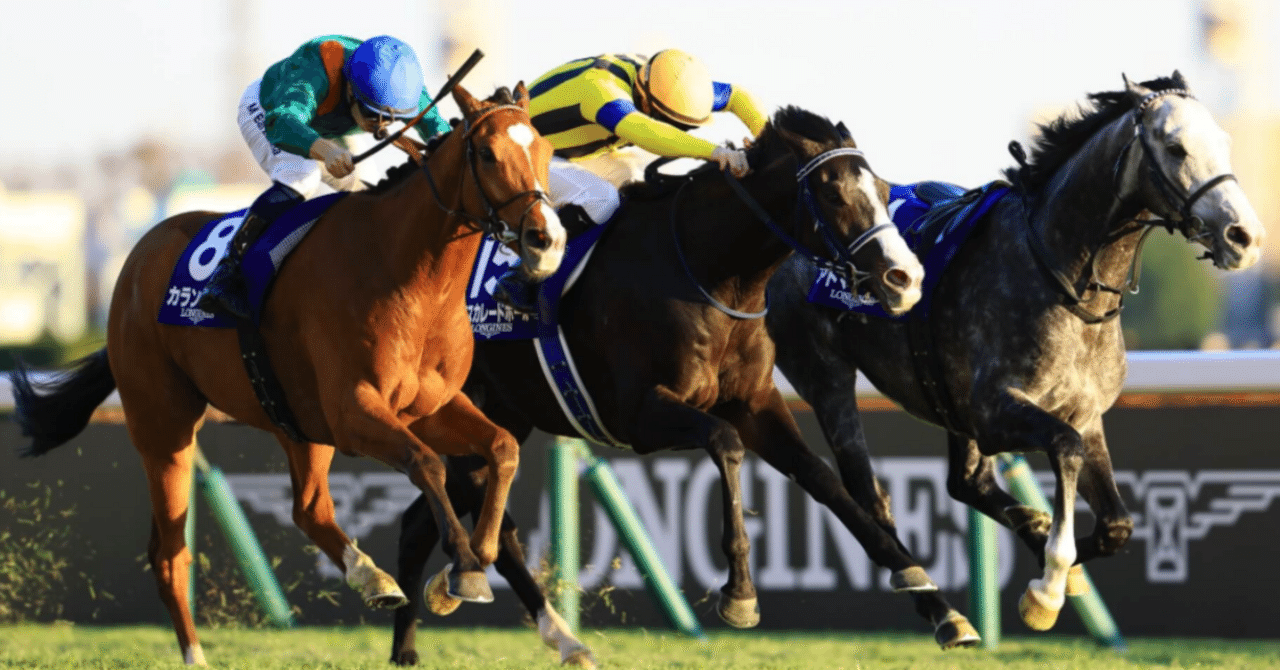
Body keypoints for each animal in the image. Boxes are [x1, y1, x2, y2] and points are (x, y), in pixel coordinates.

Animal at [7, 84, 567, 666]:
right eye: (487, 154)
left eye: (546, 150)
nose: (546, 239)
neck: (408, 277)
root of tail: (135, 261)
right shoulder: (354, 411)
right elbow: (427, 463)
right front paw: (462, 566)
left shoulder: (430, 406)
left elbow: (502, 449)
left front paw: (466, 569)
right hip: (163, 425)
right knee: (171, 553)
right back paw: (196, 654)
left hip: (296, 423)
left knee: (309, 509)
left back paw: (371, 577)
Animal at [387, 106, 972, 668]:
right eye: (831, 192)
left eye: (882, 189)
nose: (906, 279)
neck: (710, 273)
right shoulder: (639, 414)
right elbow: (725, 443)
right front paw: (740, 594)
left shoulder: (754, 402)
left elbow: (824, 479)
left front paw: (934, 599)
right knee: (485, 516)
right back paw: (536, 626)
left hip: (505, 412)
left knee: (424, 519)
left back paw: (416, 636)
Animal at [763, 72, 1266, 641]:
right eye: (1176, 147)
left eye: (1224, 141)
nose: (1244, 237)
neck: (1064, 282)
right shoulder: (996, 410)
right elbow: (1065, 450)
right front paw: (1047, 585)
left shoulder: (1084, 413)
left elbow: (1116, 524)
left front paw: (1055, 557)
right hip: (825, 375)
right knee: (868, 494)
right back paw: (941, 608)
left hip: (946, 401)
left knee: (967, 482)